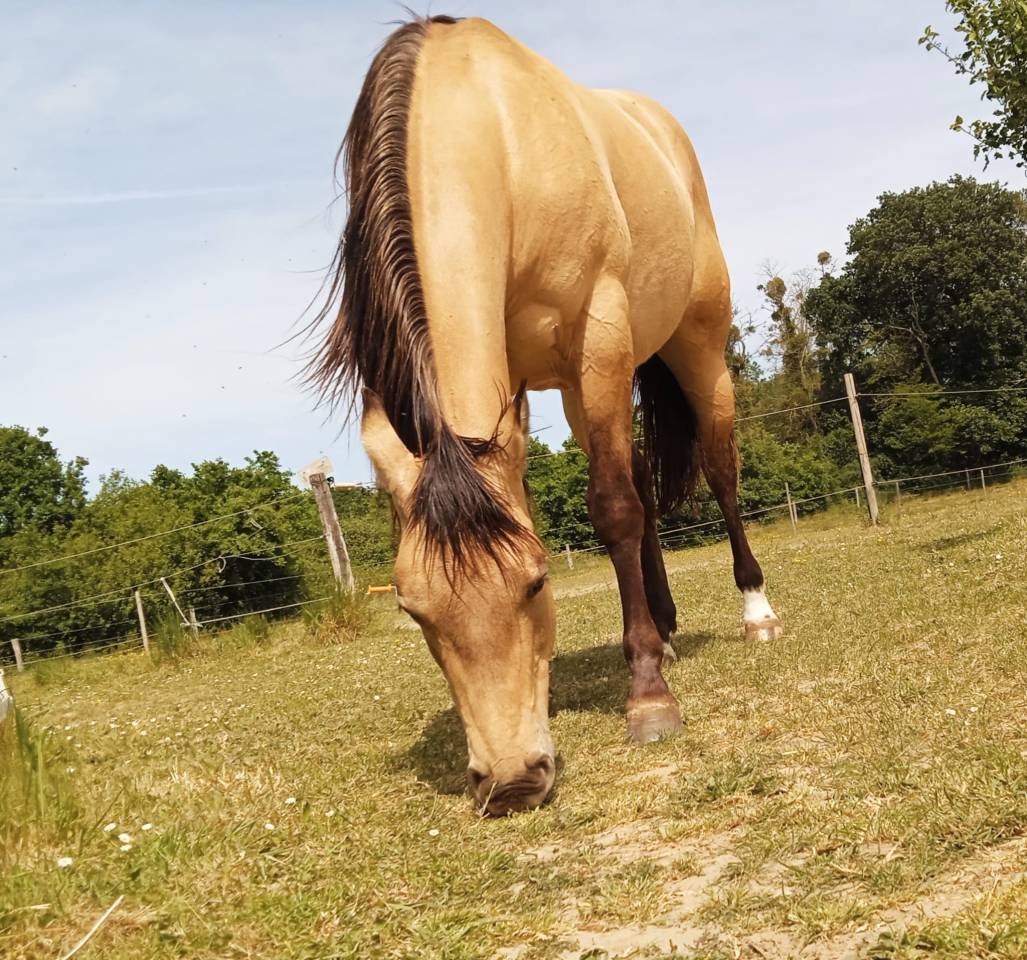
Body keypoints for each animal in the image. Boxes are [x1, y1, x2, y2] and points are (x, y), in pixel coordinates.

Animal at [309, 15, 781, 815]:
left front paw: (649, 698)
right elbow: (608, 501)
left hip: (694, 350)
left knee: (717, 471)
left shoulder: (600, 332)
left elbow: (613, 510)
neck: (495, 135)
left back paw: (754, 613)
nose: (510, 782)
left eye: (535, 582)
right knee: (645, 483)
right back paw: (665, 629)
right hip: (584, 387)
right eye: (413, 610)